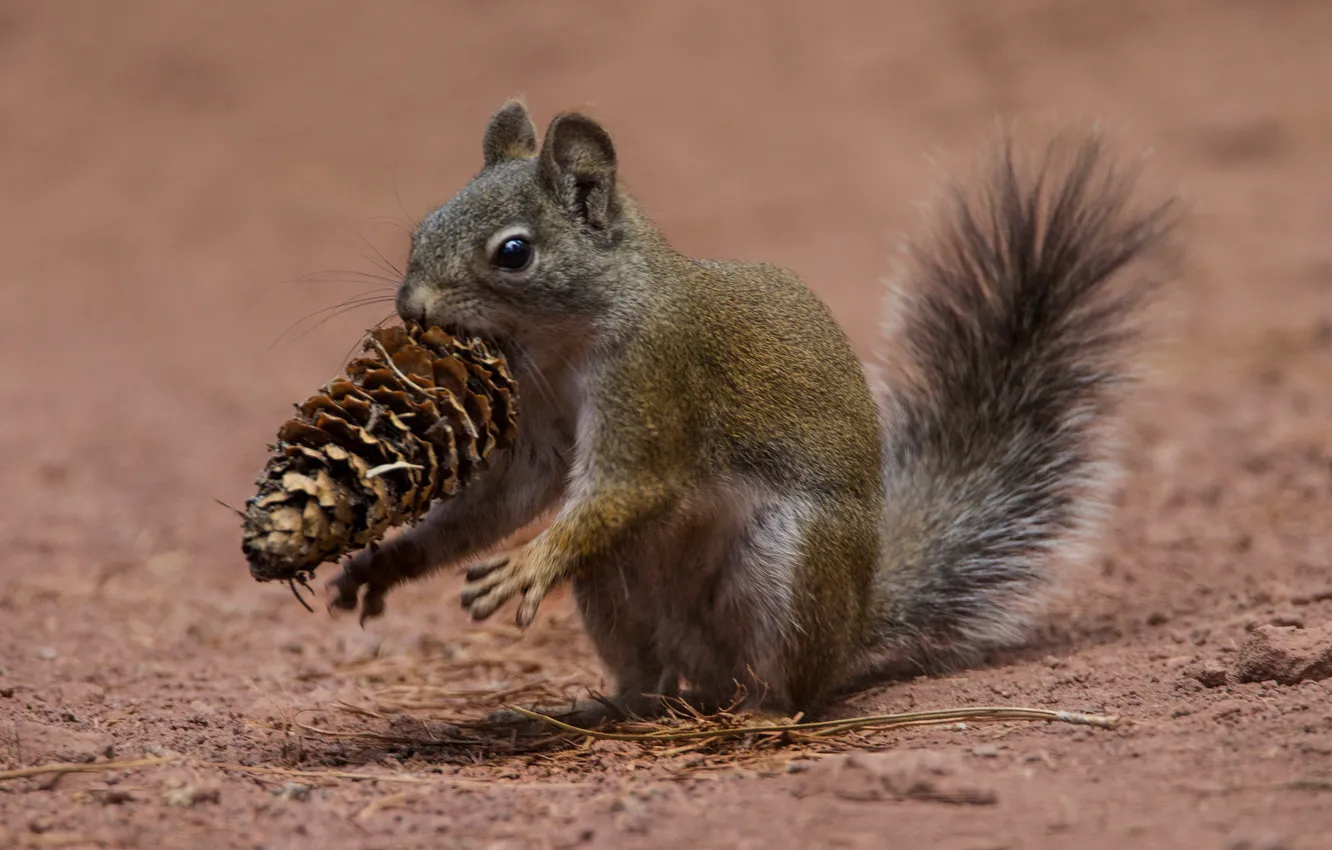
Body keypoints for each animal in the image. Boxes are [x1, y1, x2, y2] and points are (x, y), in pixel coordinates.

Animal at [328, 99, 1176, 724]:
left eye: (514, 253)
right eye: (422, 227)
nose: (411, 308)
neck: (565, 344)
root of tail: (855, 621)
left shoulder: (658, 375)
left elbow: (633, 486)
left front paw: (526, 566)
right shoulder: (537, 425)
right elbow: (506, 499)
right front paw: (386, 564)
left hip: (788, 569)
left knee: (790, 685)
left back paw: (761, 714)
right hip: (615, 592)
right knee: (652, 675)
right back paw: (617, 708)